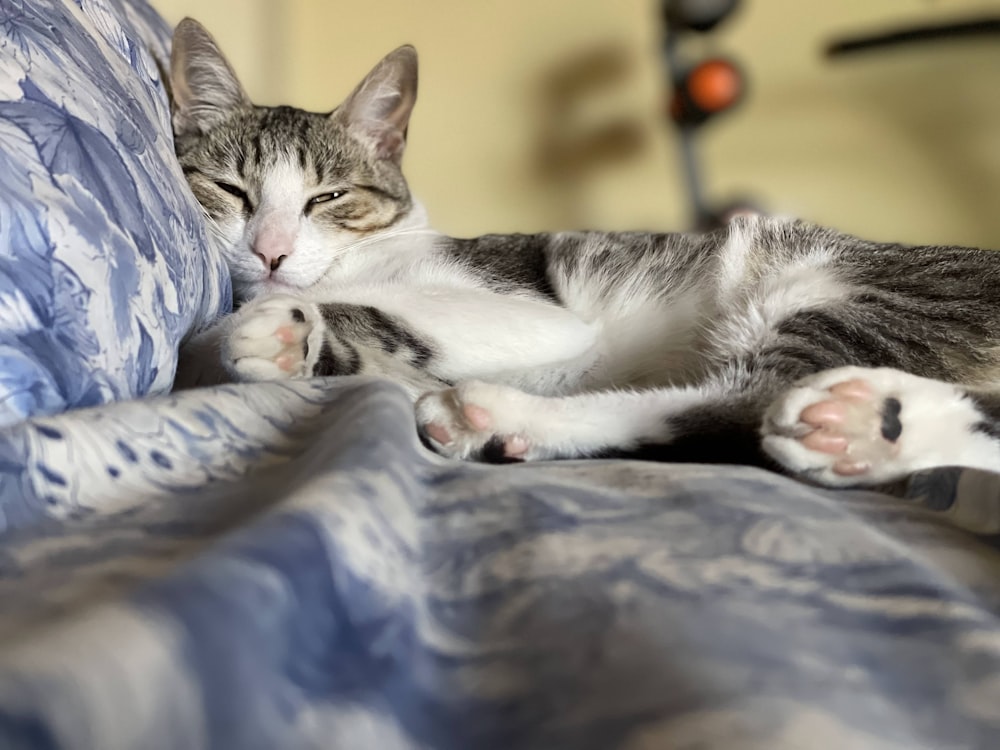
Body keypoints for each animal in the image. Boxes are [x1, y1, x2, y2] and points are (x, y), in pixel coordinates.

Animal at [174, 17, 1000, 490]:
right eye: (231, 190)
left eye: (329, 198)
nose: (271, 253)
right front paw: (281, 339)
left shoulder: (529, 311)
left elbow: (376, 307)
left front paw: (258, 329)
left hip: (833, 285)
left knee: (749, 396)